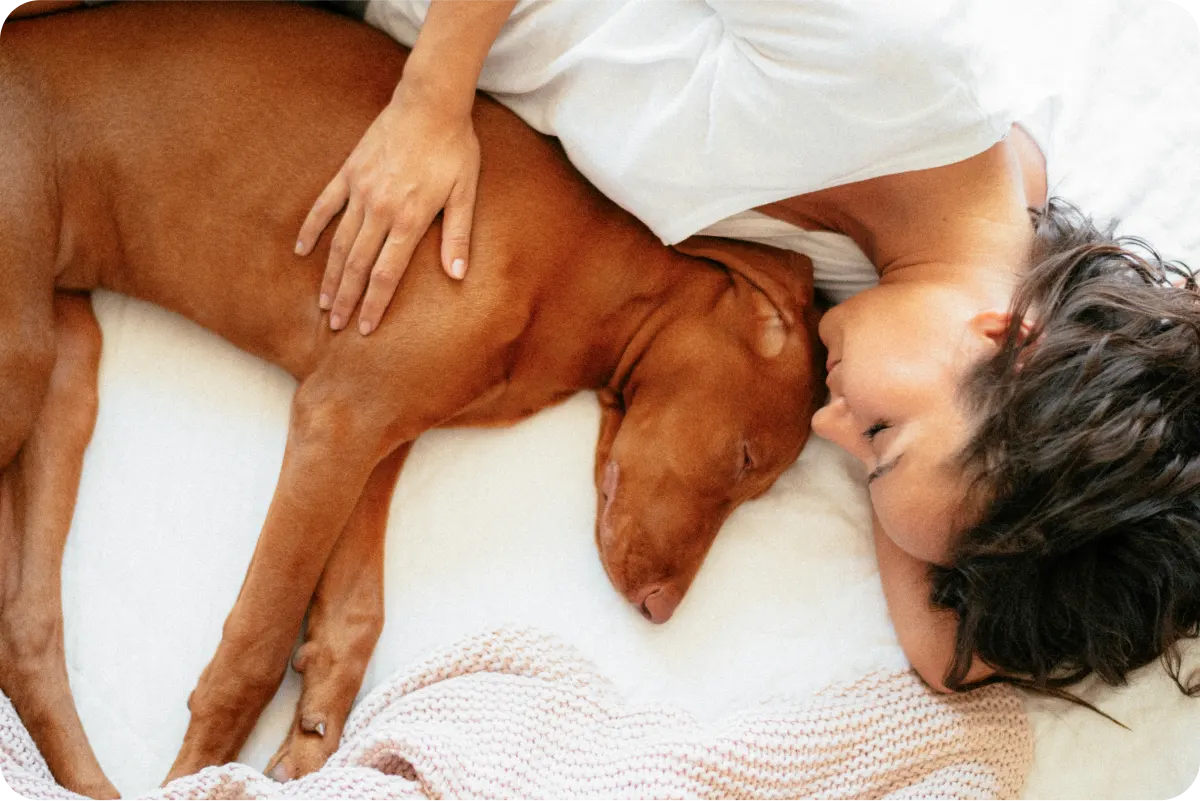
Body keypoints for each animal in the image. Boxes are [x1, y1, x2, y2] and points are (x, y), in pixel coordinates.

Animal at [0, 0, 820, 796]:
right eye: (745, 459)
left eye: (755, 488)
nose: (661, 609)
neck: (578, 278)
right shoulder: (340, 418)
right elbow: (258, 641)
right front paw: (200, 774)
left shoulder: (378, 433)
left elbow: (356, 610)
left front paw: (318, 726)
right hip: (20, 358)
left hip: (65, 371)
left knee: (24, 630)